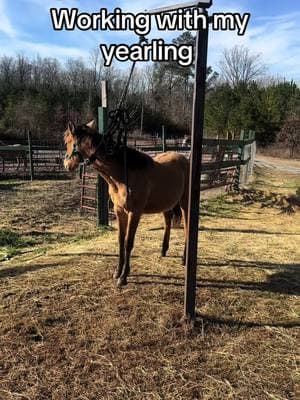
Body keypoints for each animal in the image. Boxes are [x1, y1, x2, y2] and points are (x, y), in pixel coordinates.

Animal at [64, 120, 189, 286]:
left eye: (67, 142)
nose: (66, 164)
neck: (123, 174)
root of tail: (184, 159)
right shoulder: (119, 211)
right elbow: (120, 241)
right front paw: (117, 272)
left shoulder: (134, 213)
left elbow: (128, 242)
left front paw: (123, 277)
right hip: (166, 204)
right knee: (168, 223)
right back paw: (163, 250)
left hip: (185, 202)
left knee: (187, 227)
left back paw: (184, 258)